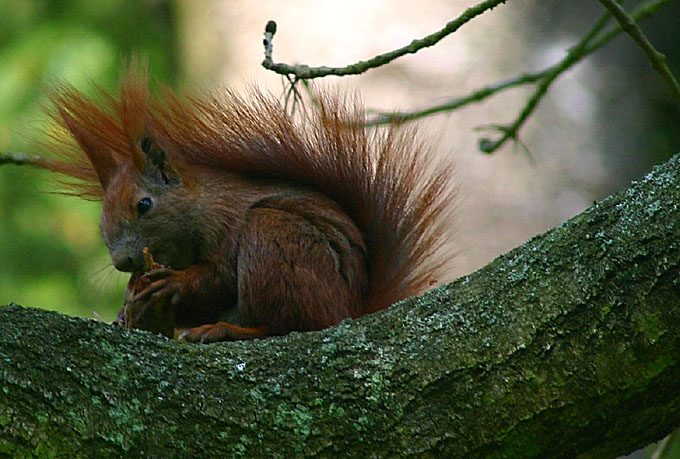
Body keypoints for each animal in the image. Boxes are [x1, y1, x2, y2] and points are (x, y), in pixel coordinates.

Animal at [38, 66, 456, 344]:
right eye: (101, 223)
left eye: (144, 204)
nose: (123, 262)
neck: (199, 207)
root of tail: (350, 310)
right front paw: (126, 308)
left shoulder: (230, 219)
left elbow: (219, 275)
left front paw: (172, 283)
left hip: (274, 238)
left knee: (289, 324)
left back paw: (225, 330)